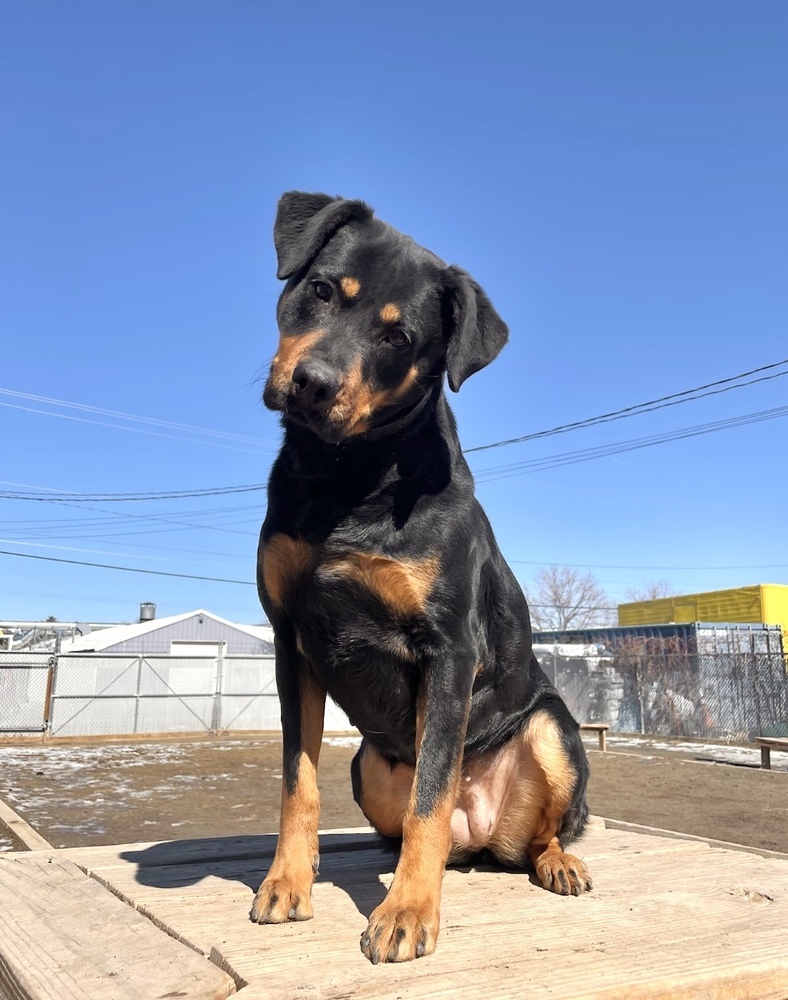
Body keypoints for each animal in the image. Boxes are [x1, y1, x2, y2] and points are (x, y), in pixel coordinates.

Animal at [252, 191, 592, 964]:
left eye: (399, 338)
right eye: (321, 290)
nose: (312, 384)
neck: (347, 475)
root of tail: (483, 836)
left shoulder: (448, 650)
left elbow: (431, 796)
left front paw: (406, 912)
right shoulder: (291, 642)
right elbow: (297, 780)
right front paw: (287, 882)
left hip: (555, 733)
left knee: (537, 833)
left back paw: (558, 863)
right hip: (367, 766)